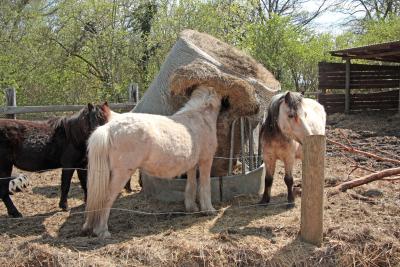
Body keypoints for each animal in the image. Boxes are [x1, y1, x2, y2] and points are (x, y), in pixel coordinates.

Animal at [83, 86, 222, 239]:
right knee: (106, 199)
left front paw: (192, 208)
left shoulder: (192, 165)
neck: (200, 118)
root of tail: (108, 128)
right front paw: (209, 209)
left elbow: (191, 185)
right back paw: (102, 231)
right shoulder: (206, 161)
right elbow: (205, 186)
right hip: (120, 175)